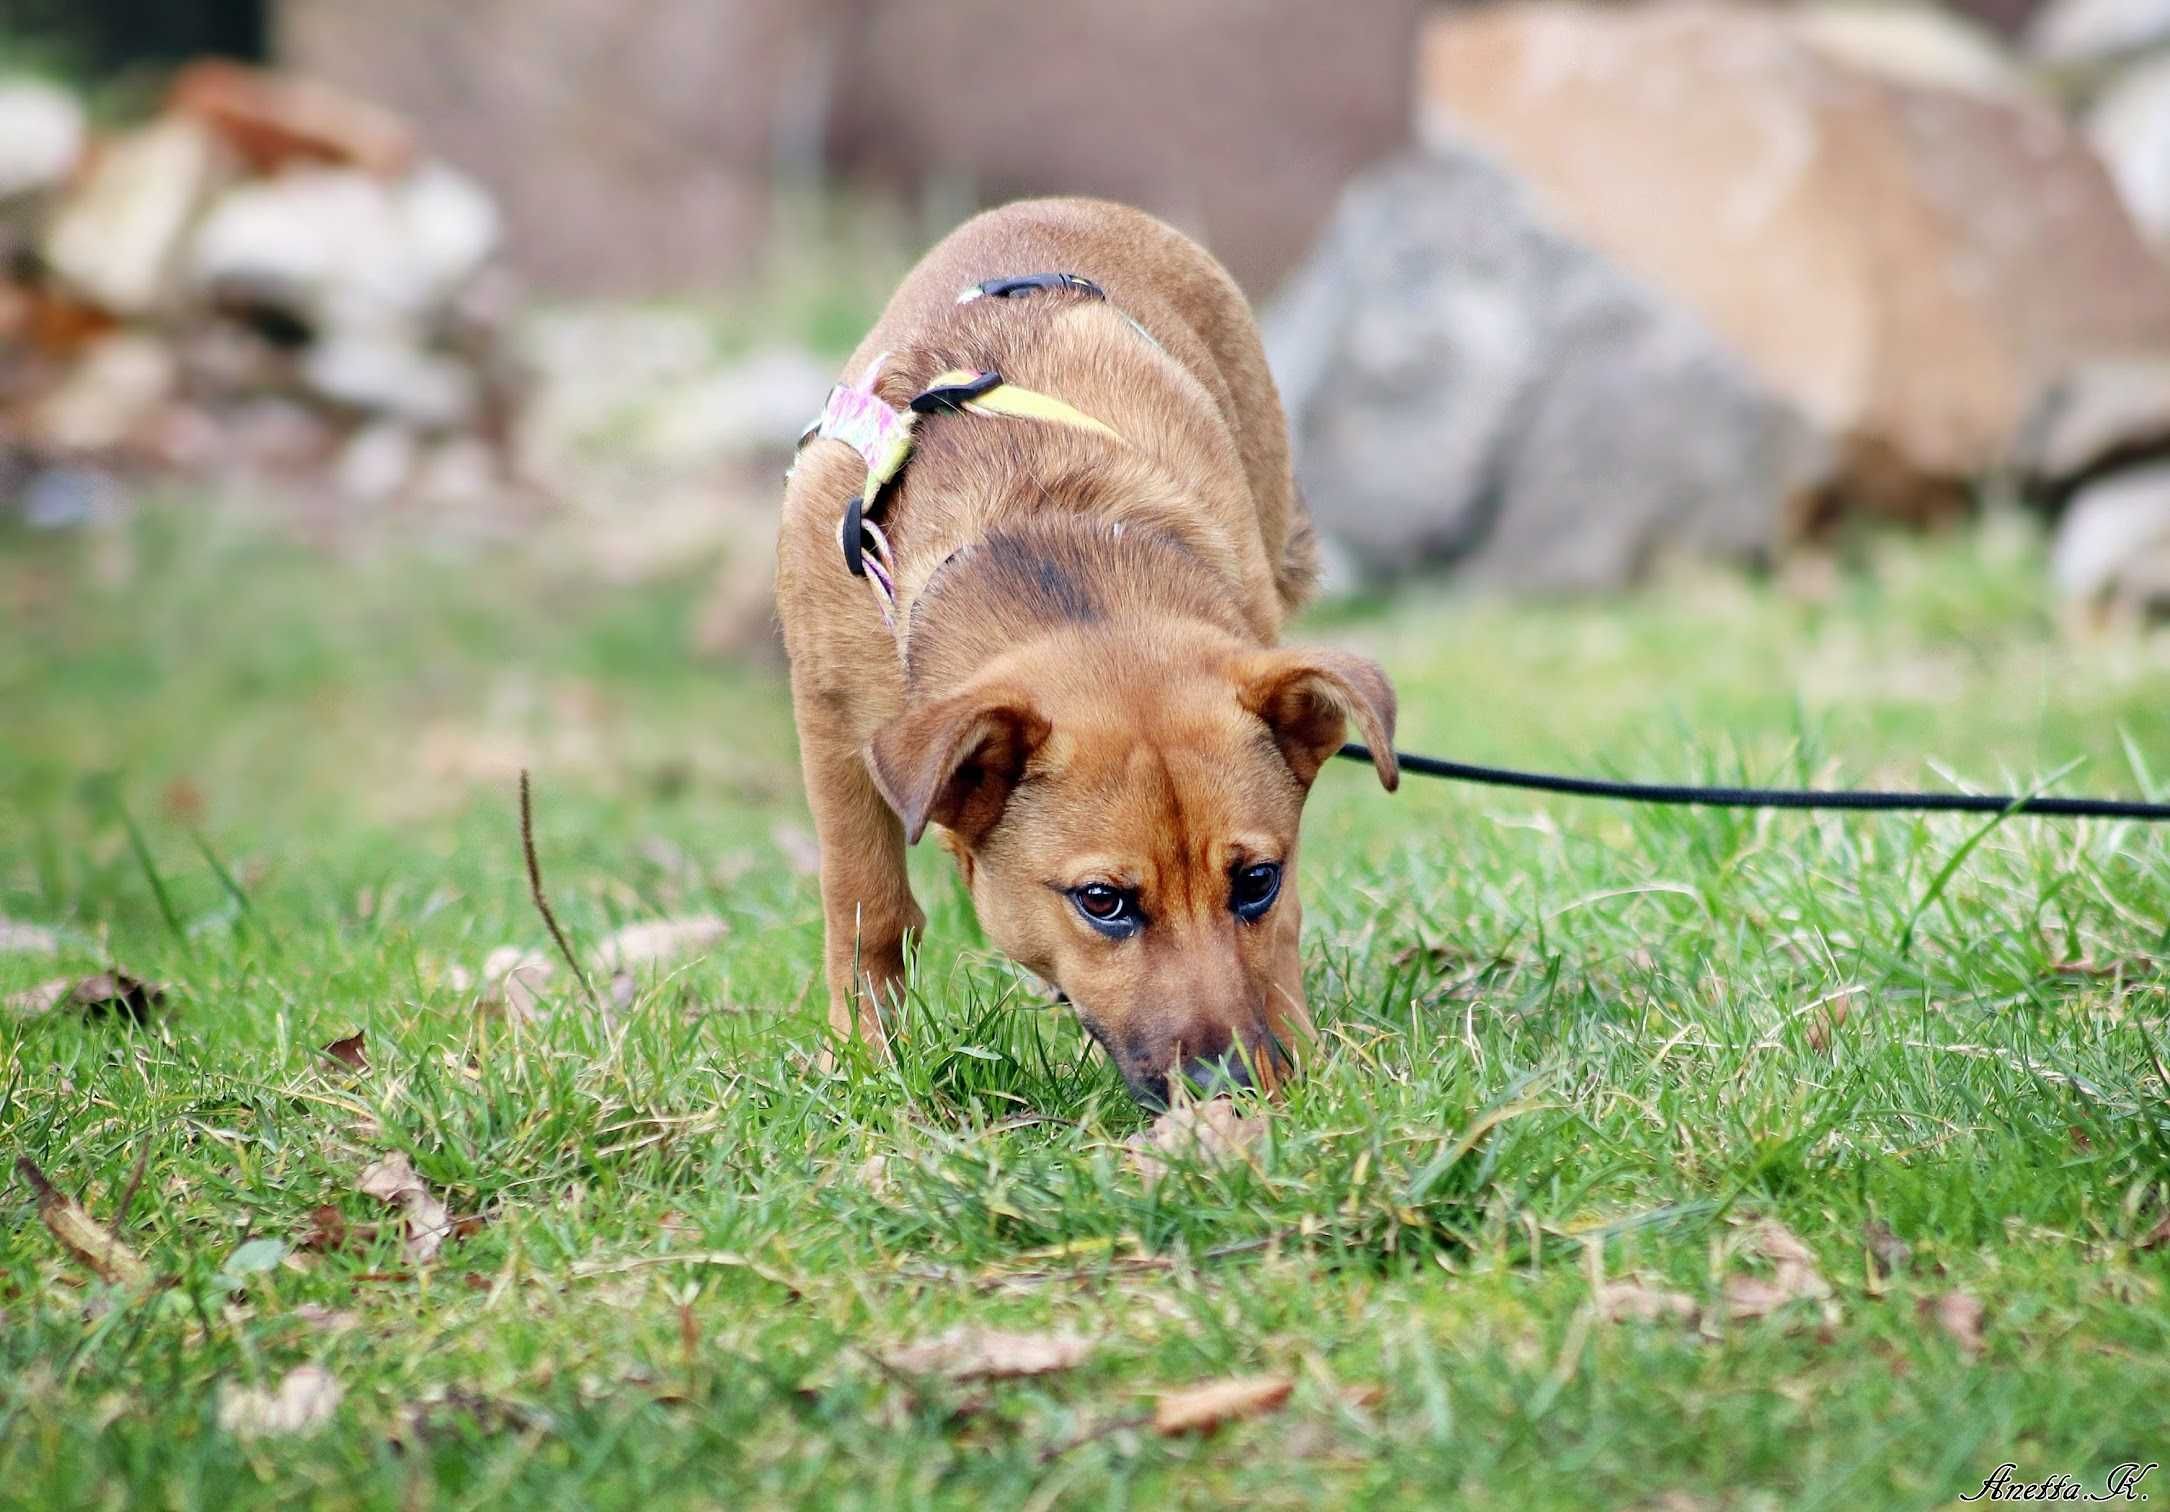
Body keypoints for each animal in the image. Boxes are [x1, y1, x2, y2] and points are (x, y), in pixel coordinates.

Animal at [772, 194, 1397, 1102]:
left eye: (1255, 882)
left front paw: (1299, 1055)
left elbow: (1281, 939)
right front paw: (866, 1062)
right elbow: (867, 907)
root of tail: (1067, 205)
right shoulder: (828, 719)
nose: (1224, 1086)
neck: (1045, 544)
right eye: (1102, 901)